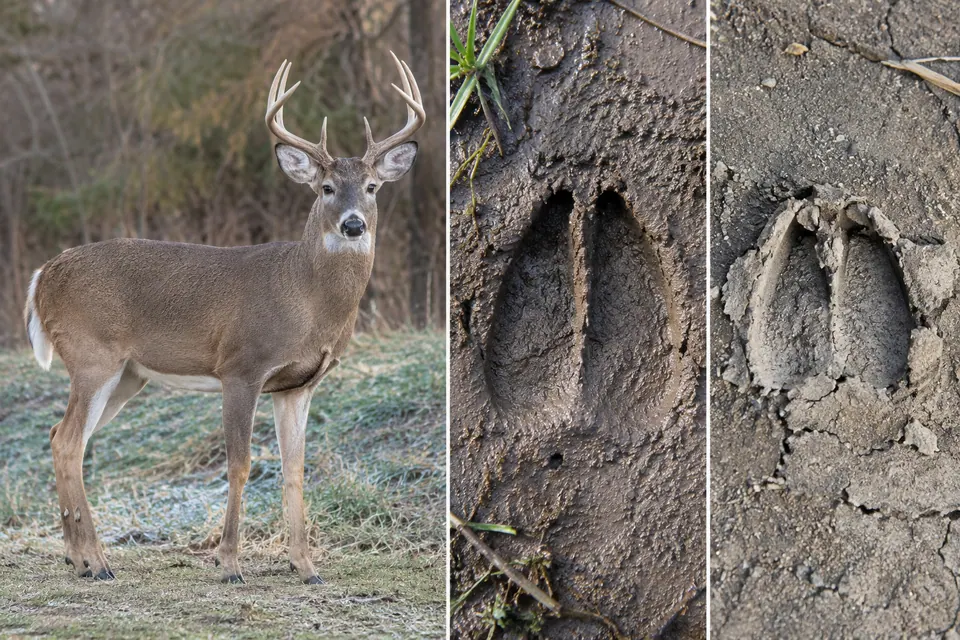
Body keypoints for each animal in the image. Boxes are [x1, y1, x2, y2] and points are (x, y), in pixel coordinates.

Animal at [22, 52, 424, 585]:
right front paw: (229, 563)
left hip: (127, 376)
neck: (307, 299)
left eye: (373, 187)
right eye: (326, 187)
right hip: (92, 355)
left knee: (62, 437)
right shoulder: (241, 366)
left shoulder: (298, 384)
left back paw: (78, 556)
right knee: (69, 441)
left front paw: (306, 567)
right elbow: (240, 465)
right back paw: (99, 561)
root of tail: (43, 275)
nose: (353, 224)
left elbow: (295, 469)